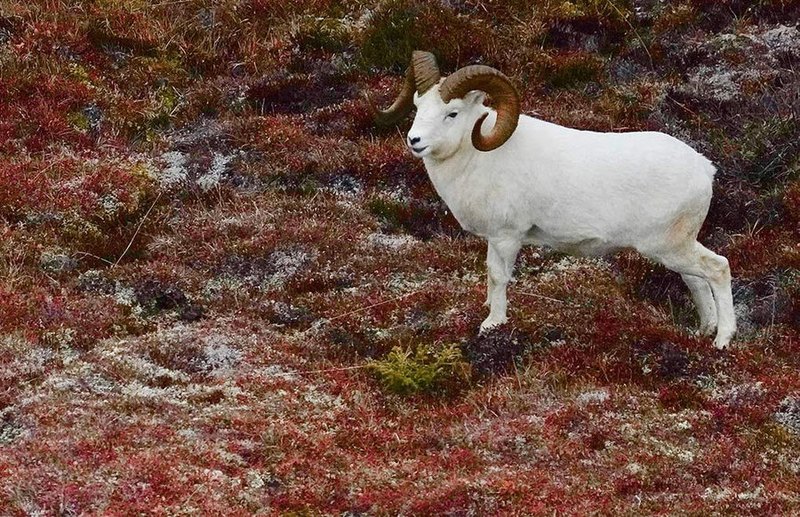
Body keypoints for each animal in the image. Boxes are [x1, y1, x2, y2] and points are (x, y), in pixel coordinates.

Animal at [366, 51, 737, 349]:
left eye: (452, 113)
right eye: (418, 106)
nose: (415, 141)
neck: (475, 159)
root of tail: (703, 169)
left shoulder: (506, 237)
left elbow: (499, 277)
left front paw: (493, 324)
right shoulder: (493, 239)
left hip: (668, 247)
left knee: (717, 269)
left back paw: (722, 340)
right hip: (675, 249)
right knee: (696, 280)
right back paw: (703, 332)